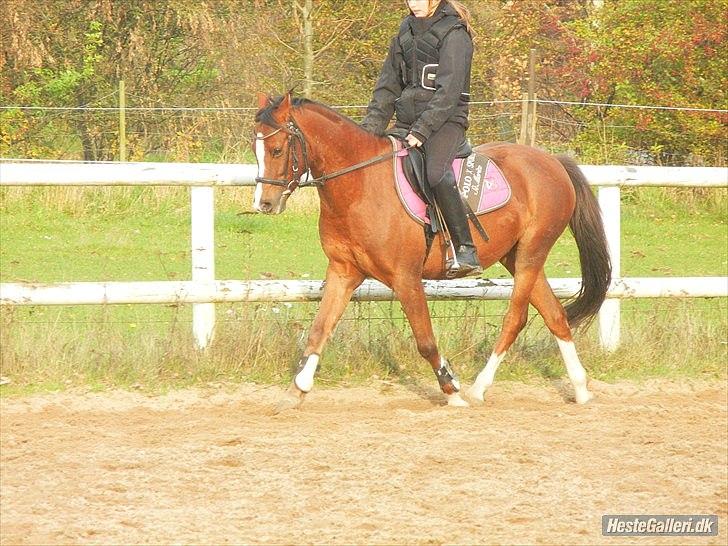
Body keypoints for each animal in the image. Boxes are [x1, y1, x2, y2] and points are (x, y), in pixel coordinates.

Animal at [252, 92, 611, 410]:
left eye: (277, 149)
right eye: (256, 150)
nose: (265, 204)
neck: (361, 186)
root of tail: (552, 161)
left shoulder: (405, 278)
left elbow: (424, 340)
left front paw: (451, 390)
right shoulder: (343, 272)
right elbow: (319, 330)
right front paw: (297, 390)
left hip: (531, 255)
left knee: (516, 317)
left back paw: (477, 389)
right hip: (517, 256)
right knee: (555, 315)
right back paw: (581, 390)